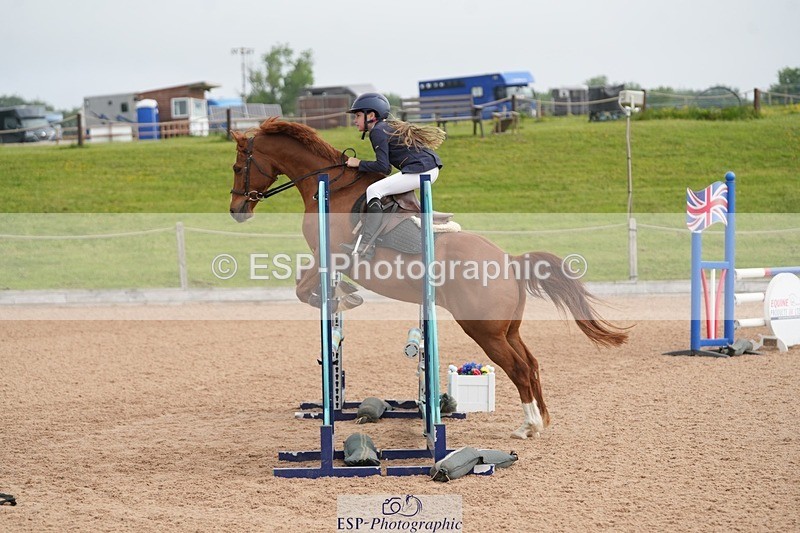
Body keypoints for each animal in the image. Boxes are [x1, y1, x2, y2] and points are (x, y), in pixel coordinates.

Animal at [228, 117, 629, 439]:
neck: (330, 188)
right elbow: (308, 285)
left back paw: (528, 426)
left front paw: (344, 296)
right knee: (530, 364)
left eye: (236, 166)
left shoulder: (330, 255)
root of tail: (510, 262)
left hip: (483, 329)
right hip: (506, 329)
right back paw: (540, 420)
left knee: (517, 368)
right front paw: (345, 295)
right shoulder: (326, 258)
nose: (236, 210)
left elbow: (303, 287)